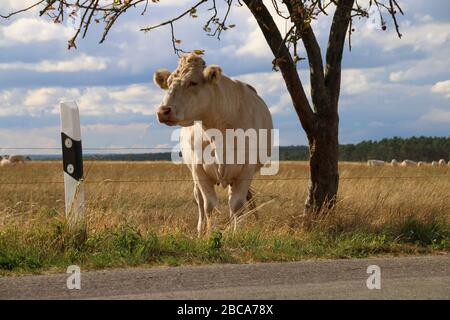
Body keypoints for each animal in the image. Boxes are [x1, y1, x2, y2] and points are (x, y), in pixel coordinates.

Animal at [154, 53, 274, 235]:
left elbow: (237, 205)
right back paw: (199, 230)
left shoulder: (246, 168)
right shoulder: (198, 169)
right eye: (168, 83)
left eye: (193, 82)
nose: (163, 111)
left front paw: (236, 233)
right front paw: (210, 233)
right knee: (199, 201)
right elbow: (209, 205)